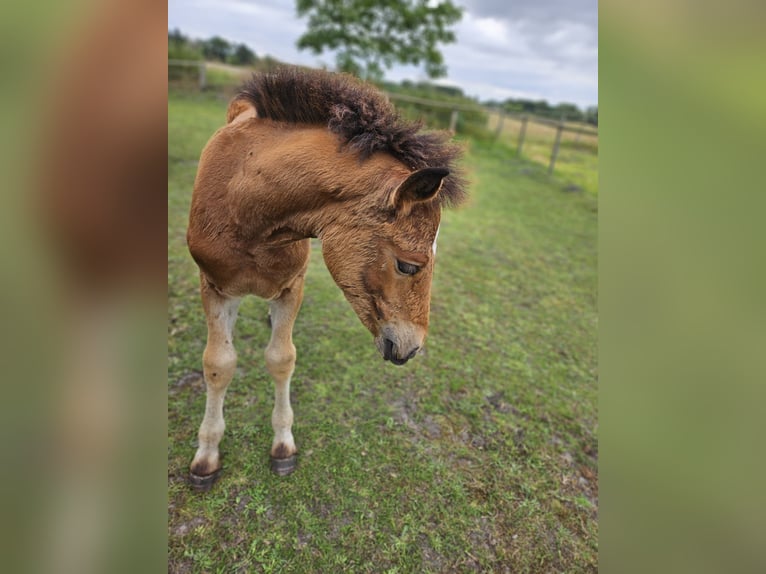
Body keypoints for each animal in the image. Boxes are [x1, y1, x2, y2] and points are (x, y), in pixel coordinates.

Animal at [186, 68, 468, 490]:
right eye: (408, 265)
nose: (412, 348)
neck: (247, 211)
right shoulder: (215, 287)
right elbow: (219, 364)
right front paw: (206, 457)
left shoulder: (292, 286)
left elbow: (282, 357)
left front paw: (283, 446)